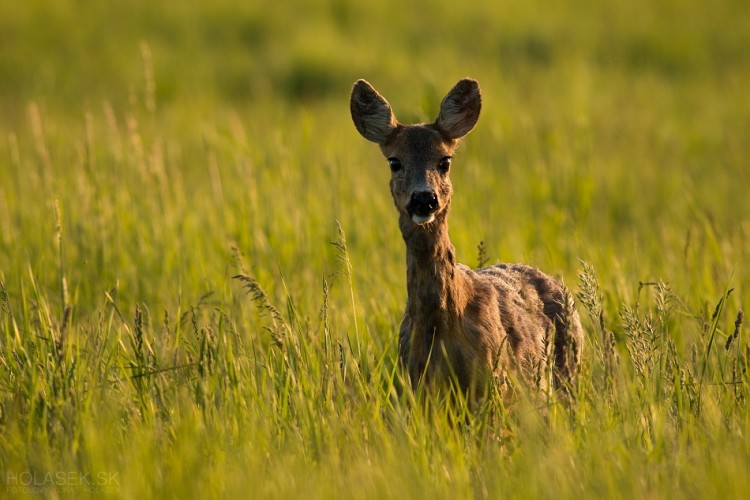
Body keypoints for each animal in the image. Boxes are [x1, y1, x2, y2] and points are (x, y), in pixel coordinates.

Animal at [352, 79, 588, 402]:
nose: (424, 199)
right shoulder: (417, 384)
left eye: (445, 161)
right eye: (394, 161)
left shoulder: (494, 381)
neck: (442, 324)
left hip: (569, 371)